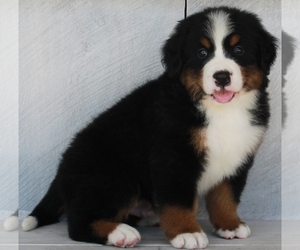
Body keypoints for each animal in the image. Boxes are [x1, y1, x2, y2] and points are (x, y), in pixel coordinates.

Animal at [22, 6, 278, 249]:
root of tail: (61, 170)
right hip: (113, 176)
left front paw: (230, 225)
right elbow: (179, 201)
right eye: (202, 53)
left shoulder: (238, 156)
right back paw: (120, 233)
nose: (222, 76)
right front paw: (187, 233)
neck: (221, 111)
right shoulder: (173, 157)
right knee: (78, 223)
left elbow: (225, 196)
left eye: (239, 50)